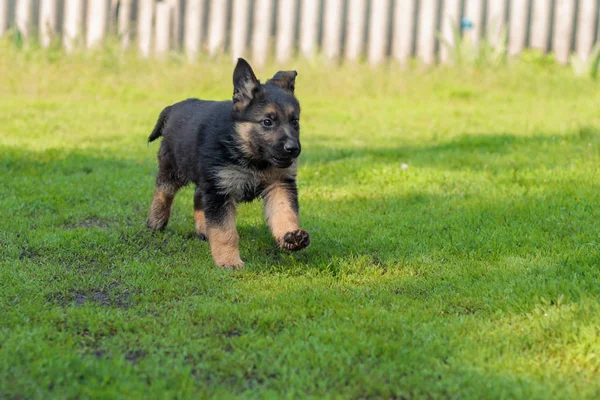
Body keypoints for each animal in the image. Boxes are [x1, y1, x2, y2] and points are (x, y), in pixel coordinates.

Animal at [145, 57, 310, 268]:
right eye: (267, 122)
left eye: (295, 121)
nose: (293, 149)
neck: (249, 155)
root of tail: (174, 107)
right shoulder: (219, 191)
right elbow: (225, 231)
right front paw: (229, 261)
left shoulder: (279, 184)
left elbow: (284, 212)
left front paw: (291, 235)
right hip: (173, 168)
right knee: (163, 193)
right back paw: (156, 222)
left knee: (198, 196)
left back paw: (203, 230)